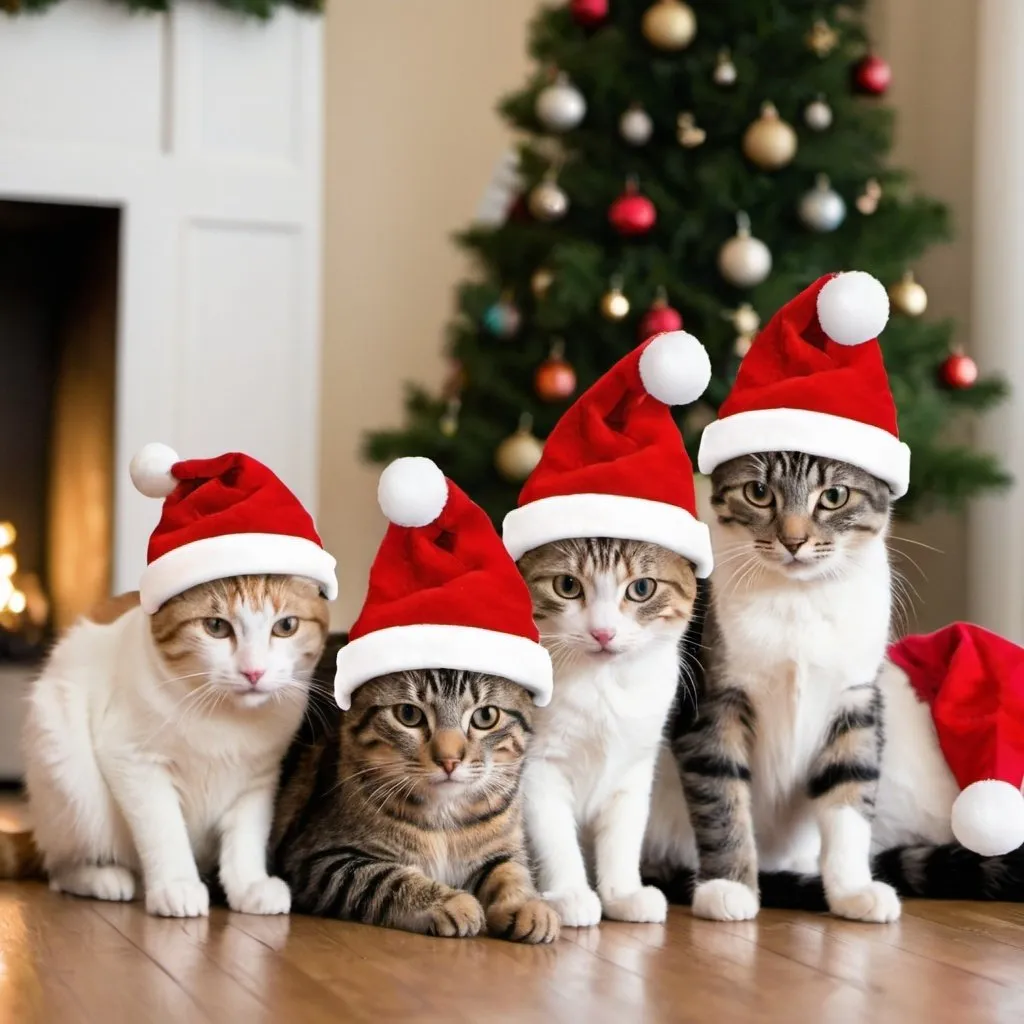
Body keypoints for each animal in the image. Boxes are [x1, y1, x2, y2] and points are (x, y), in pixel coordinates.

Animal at [1, 577, 327, 921]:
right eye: (216, 626)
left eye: (286, 626)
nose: (254, 672)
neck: (228, 718)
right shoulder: (134, 760)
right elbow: (164, 830)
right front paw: (177, 884)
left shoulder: (260, 778)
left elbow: (247, 837)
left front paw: (249, 884)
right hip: (69, 774)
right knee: (58, 869)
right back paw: (104, 877)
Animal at [272, 663, 561, 942]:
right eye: (408, 714)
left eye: (486, 716)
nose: (449, 760)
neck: (444, 816)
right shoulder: (317, 859)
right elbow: (385, 879)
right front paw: (451, 902)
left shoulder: (502, 847)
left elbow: (511, 872)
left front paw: (529, 906)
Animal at [520, 536, 696, 929]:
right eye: (567, 585)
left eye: (642, 589)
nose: (603, 632)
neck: (602, 683)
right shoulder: (538, 765)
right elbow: (554, 833)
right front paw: (569, 893)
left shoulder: (635, 766)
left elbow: (623, 833)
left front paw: (623, 894)